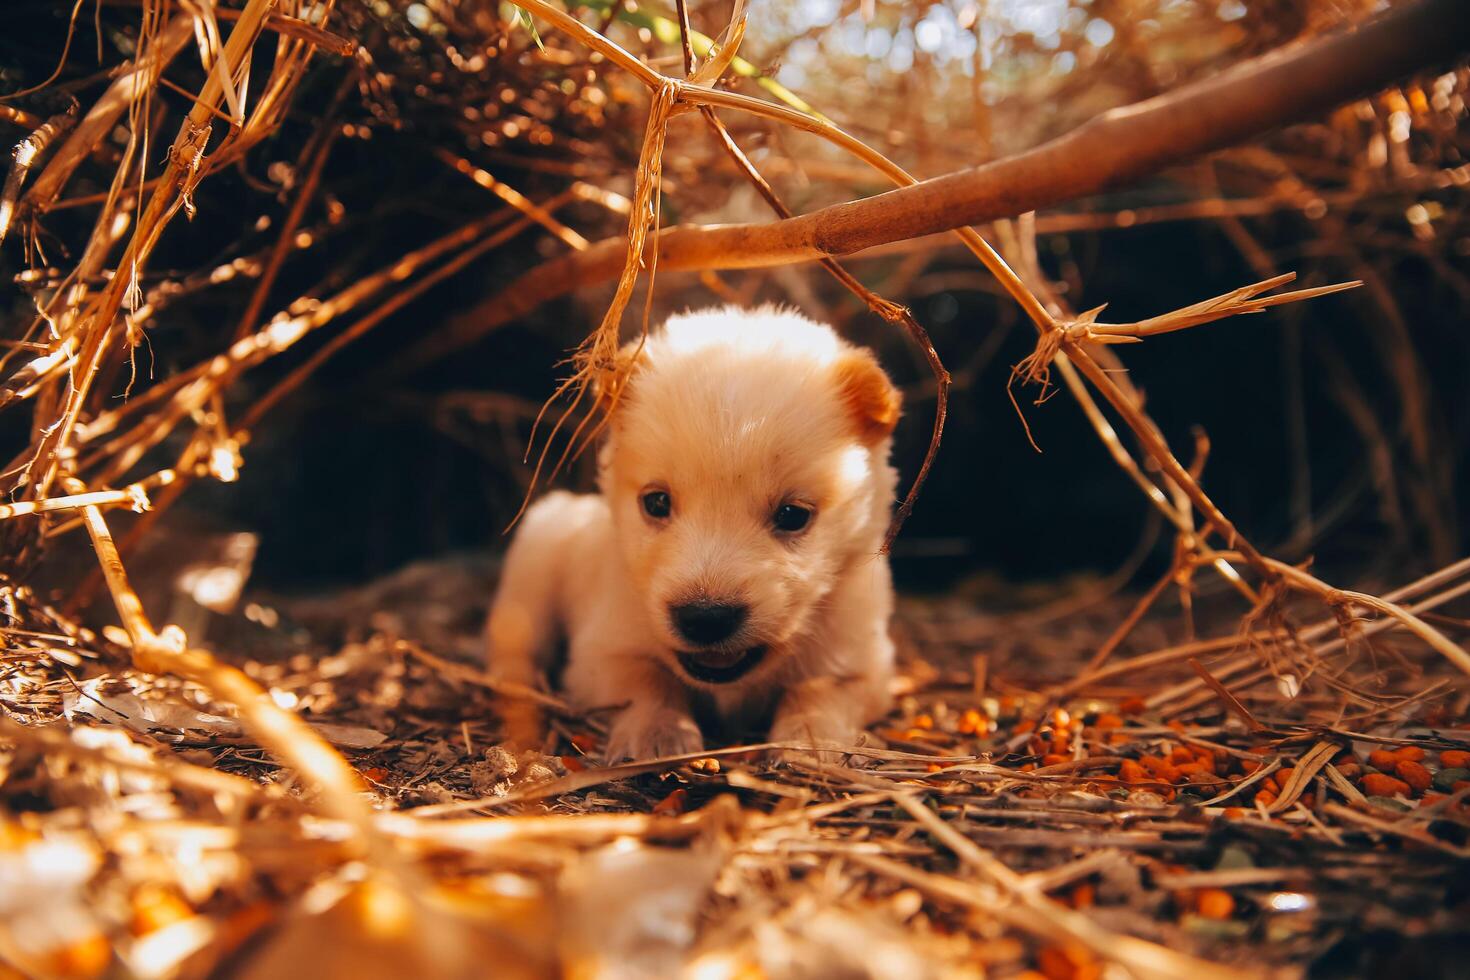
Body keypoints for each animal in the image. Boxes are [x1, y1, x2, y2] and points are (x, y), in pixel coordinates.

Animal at [485, 307, 893, 764]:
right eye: (656, 503)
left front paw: (811, 742)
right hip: (536, 555)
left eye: (793, 515)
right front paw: (658, 733)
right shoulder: (601, 651)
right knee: (515, 637)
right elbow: (648, 680)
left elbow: (819, 692)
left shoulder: (864, 664)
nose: (706, 617)